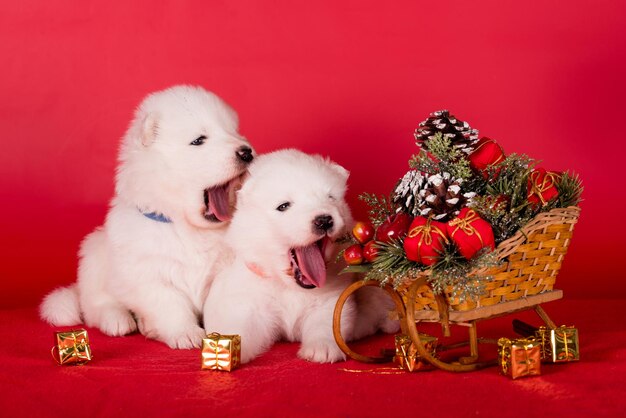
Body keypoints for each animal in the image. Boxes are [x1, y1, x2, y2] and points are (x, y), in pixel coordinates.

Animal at [40, 85, 254, 350]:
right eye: (199, 140)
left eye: (234, 132)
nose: (247, 152)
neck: (187, 227)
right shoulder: (146, 272)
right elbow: (169, 303)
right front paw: (185, 333)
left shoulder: (224, 268)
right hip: (94, 256)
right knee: (96, 305)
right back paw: (119, 320)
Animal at [202, 149, 394, 362]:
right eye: (284, 206)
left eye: (331, 198)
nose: (324, 220)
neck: (289, 287)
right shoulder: (248, 304)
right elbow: (240, 328)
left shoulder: (330, 301)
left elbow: (326, 324)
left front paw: (321, 348)